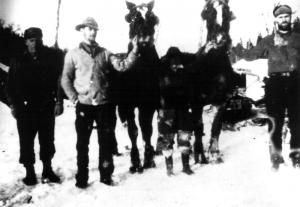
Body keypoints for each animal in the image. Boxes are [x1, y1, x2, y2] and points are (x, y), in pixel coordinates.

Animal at [116, 1, 161, 173]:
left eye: (152, 18)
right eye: (132, 19)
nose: (143, 42)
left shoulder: (148, 104)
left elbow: (146, 129)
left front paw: (149, 159)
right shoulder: (127, 105)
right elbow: (133, 130)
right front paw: (135, 162)